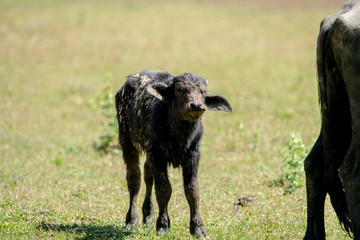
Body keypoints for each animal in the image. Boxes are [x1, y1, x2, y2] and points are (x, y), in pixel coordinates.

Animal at [116, 69, 232, 236]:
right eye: (180, 90)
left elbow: (192, 190)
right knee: (134, 179)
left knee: (147, 175)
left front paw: (198, 228)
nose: (196, 105)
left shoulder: (193, 155)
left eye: (203, 92)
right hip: (126, 141)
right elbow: (164, 189)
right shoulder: (157, 155)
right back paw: (132, 220)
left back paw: (148, 215)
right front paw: (163, 225)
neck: (180, 134)